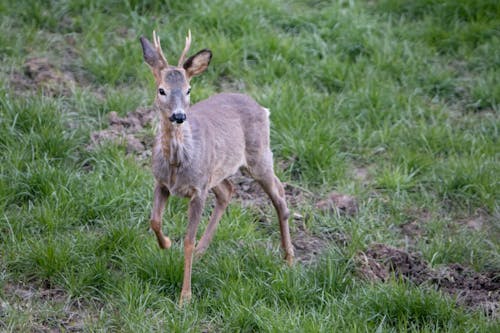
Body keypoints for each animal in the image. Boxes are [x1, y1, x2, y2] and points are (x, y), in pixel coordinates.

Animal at [140, 29, 292, 304]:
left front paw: (185, 297)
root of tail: (262, 108)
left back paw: (289, 258)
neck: (177, 163)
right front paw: (165, 243)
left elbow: (187, 240)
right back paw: (203, 250)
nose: (179, 116)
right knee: (228, 190)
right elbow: (154, 220)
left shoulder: (198, 190)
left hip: (258, 156)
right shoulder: (162, 182)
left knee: (279, 193)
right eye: (161, 90)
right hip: (218, 171)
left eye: (188, 90)